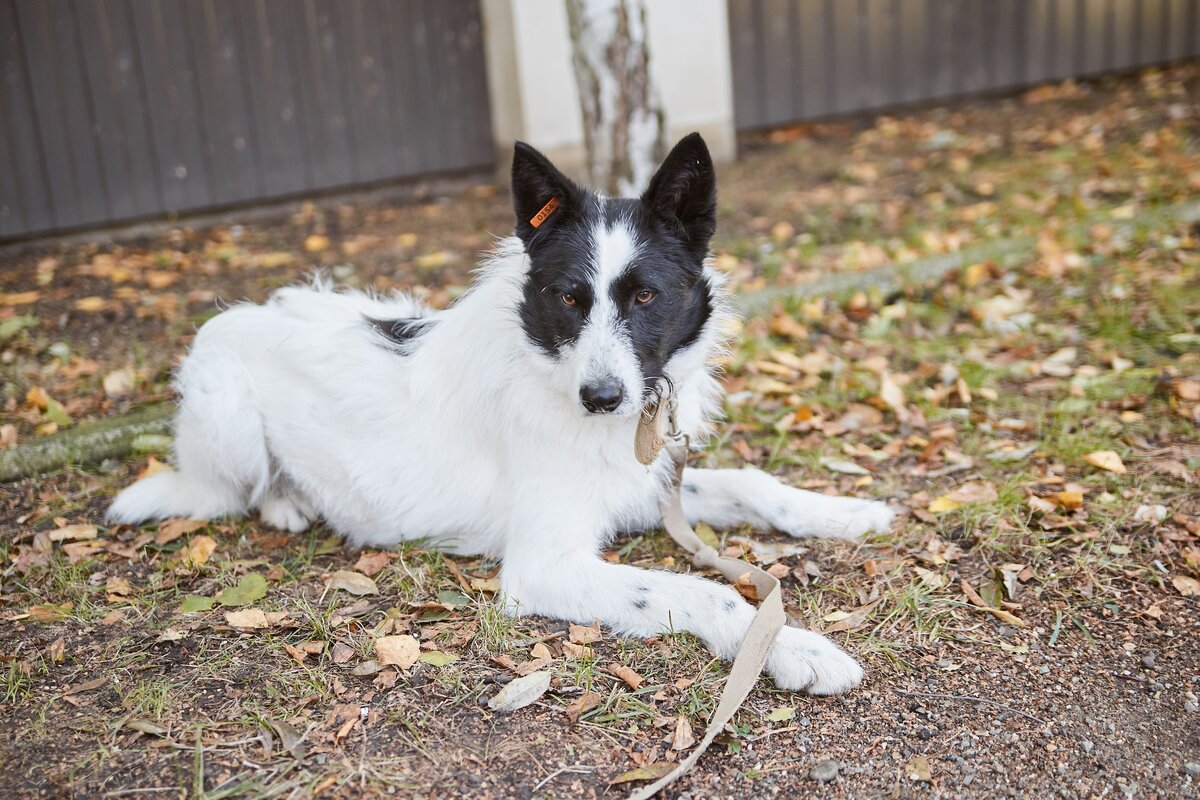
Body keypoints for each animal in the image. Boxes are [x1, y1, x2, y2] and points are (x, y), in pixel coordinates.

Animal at [112, 133, 897, 695]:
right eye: (570, 298)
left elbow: (752, 483)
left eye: (645, 297)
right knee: (230, 491)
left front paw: (844, 511)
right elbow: (704, 592)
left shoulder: (645, 483)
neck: (551, 371)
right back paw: (286, 502)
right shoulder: (545, 564)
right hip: (229, 419)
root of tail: (246, 310)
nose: (601, 399)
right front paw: (795, 647)